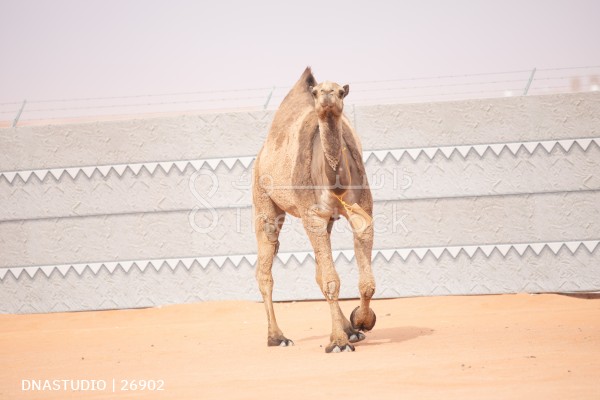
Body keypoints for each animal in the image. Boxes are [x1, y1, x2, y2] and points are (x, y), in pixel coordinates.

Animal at [252, 68, 376, 354]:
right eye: (318, 91)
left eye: (340, 91)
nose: (328, 96)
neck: (336, 182)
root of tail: (261, 155)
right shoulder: (313, 216)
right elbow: (332, 281)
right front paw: (339, 343)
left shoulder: (362, 209)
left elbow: (365, 283)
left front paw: (361, 322)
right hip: (263, 199)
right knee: (265, 270)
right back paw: (277, 337)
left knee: (318, 272)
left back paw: (350, 330)